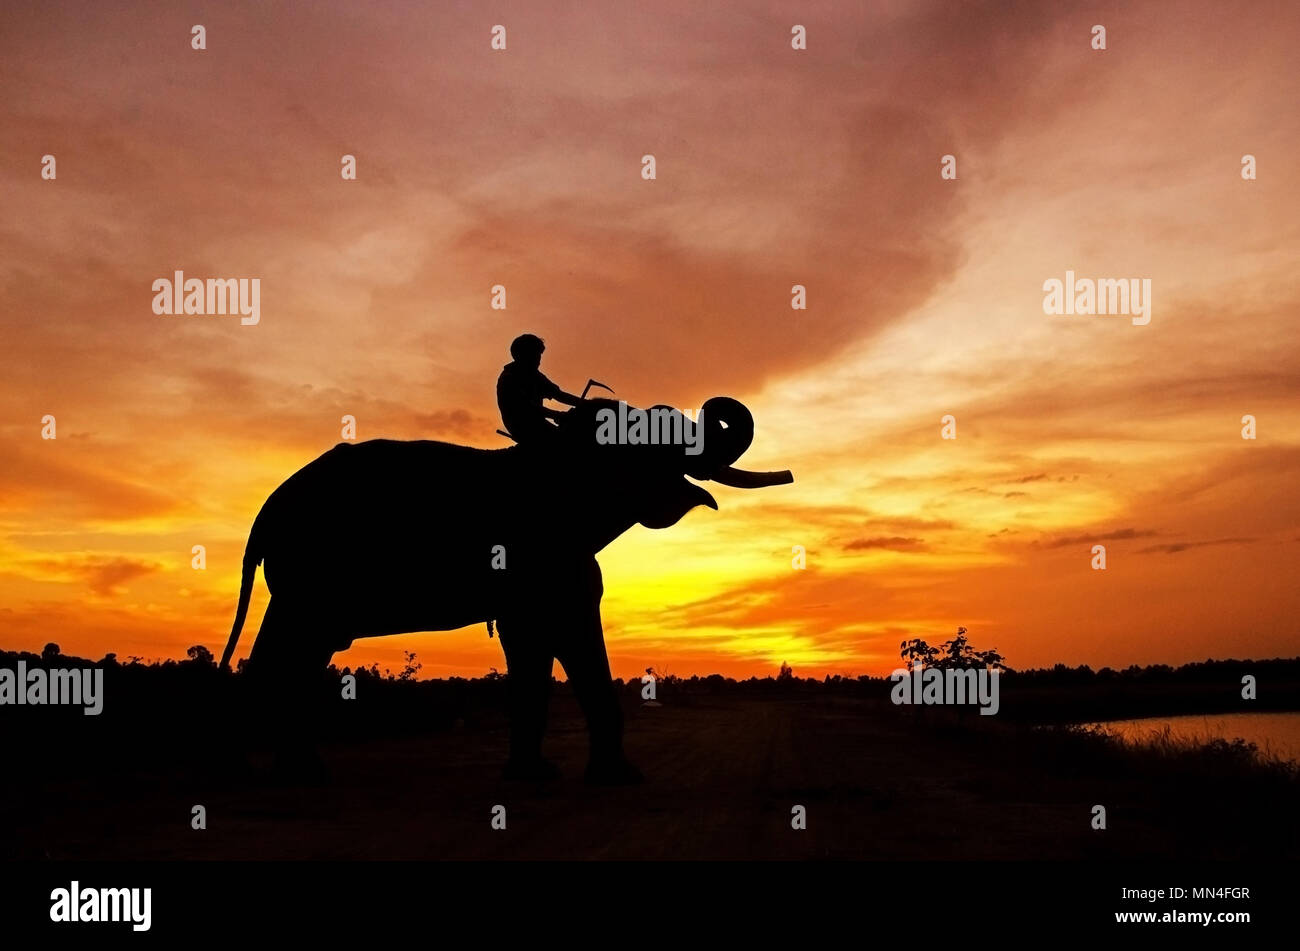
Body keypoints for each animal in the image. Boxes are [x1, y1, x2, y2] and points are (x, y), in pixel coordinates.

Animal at [220, 397, 790, 784]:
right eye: (655, 432)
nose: (787, 474)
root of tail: (267, 510)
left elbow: (554, 644)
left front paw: (564, 777)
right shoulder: (534, 557)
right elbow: (547, 641)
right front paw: (579, 779)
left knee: (298, 655)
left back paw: (299, 774)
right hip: (309, 575)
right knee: (286, 653)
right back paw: (248, 777)